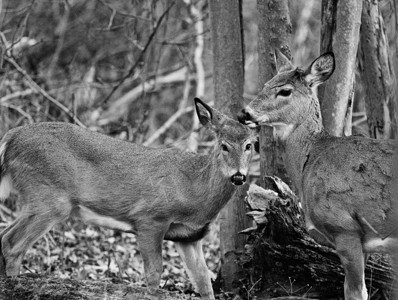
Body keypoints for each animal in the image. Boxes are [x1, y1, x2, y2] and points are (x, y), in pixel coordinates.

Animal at [0, 97, 258, 298]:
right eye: (224, 146)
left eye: (249, 145)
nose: (238, 176)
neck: (194, 190)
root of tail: (11, 137)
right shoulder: (150, 219)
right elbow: (154, 275)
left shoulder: (189, 236)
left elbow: (204, 282)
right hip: (50, 196)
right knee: (12, 244)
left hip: (37, 198)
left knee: (5, 235)